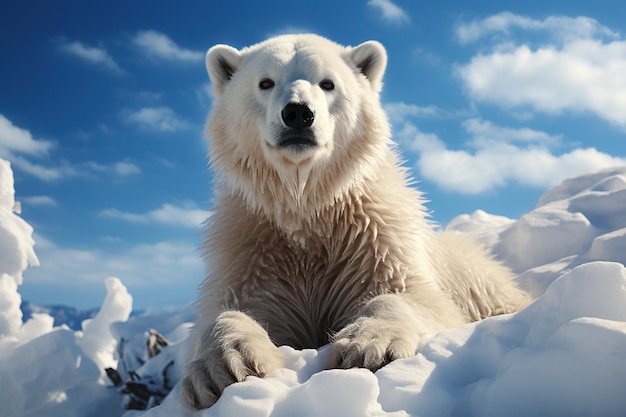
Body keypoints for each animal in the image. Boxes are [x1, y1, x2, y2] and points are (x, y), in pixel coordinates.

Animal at [180, 34, 528, 408]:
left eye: (328, 83)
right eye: (265, 82)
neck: (306, 209)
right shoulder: (253, 246)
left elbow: (408, 293)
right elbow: (231, 307)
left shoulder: (372, 238)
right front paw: (224, 367)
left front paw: (366, 347)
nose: (298, 113)